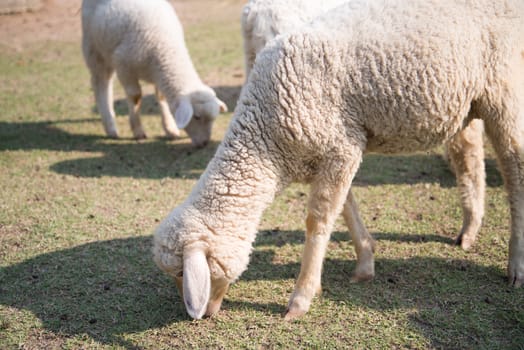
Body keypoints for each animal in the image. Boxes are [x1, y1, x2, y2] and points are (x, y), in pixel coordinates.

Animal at [81, 0, 227, 146]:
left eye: (213, 118)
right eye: (196, 117)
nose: (205, 143)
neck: (163, 47)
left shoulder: (159, 74)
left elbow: (161, 97)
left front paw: (170, 129)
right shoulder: (124, 66)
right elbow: (135, 96)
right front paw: (138, 131)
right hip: (94, 48)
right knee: (101, 83)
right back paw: (110, 127)